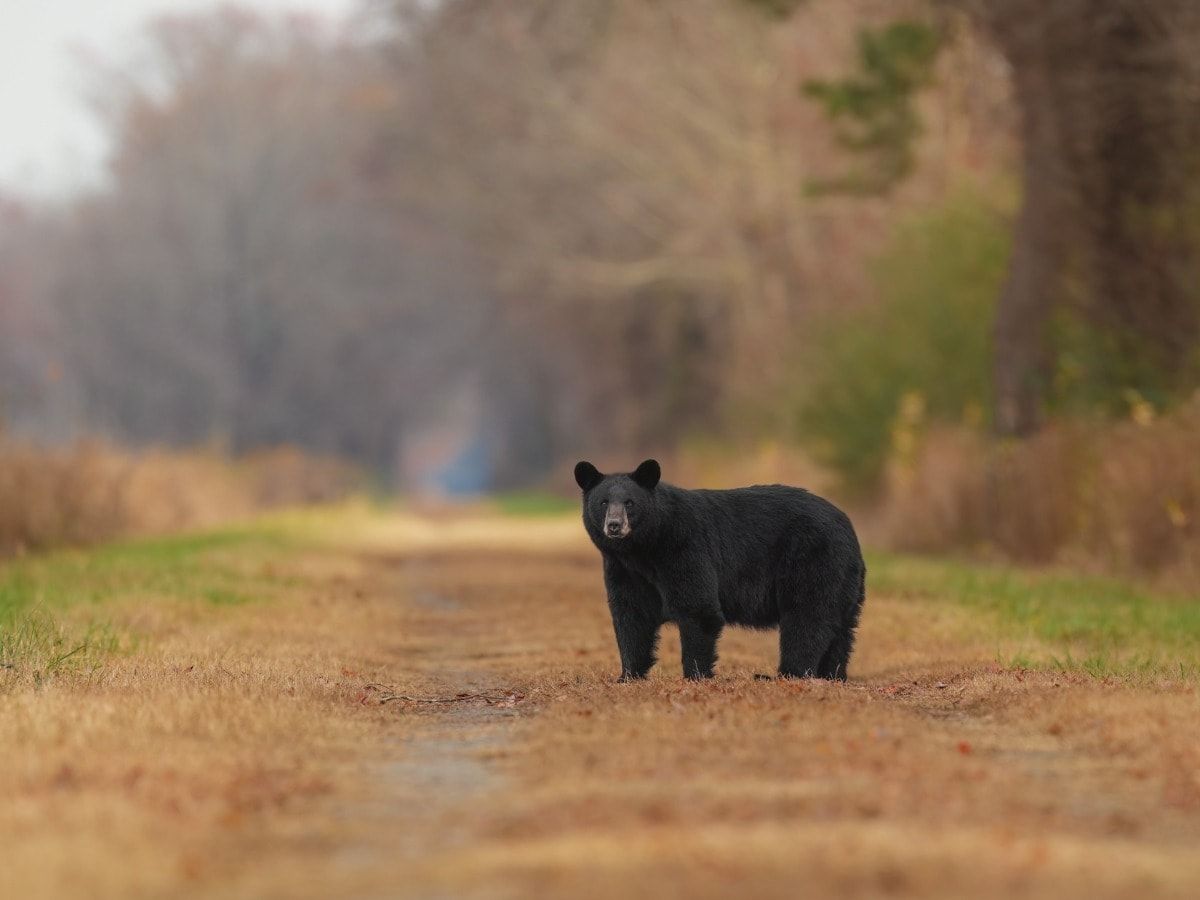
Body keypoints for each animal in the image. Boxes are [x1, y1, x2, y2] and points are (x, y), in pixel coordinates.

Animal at [574, 459, 866, 681]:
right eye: (603, 502)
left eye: (630, 503)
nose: (614, 525)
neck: (644, 550)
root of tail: (849, 528)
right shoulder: (624, 570)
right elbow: (631, 615)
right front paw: (628, 675)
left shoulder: (684, 547)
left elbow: (698, 608)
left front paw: (695, 675)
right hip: (844, 580)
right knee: (841, 629)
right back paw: (832, 675)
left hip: (812, 561)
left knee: (808, 617)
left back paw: (787, 673)